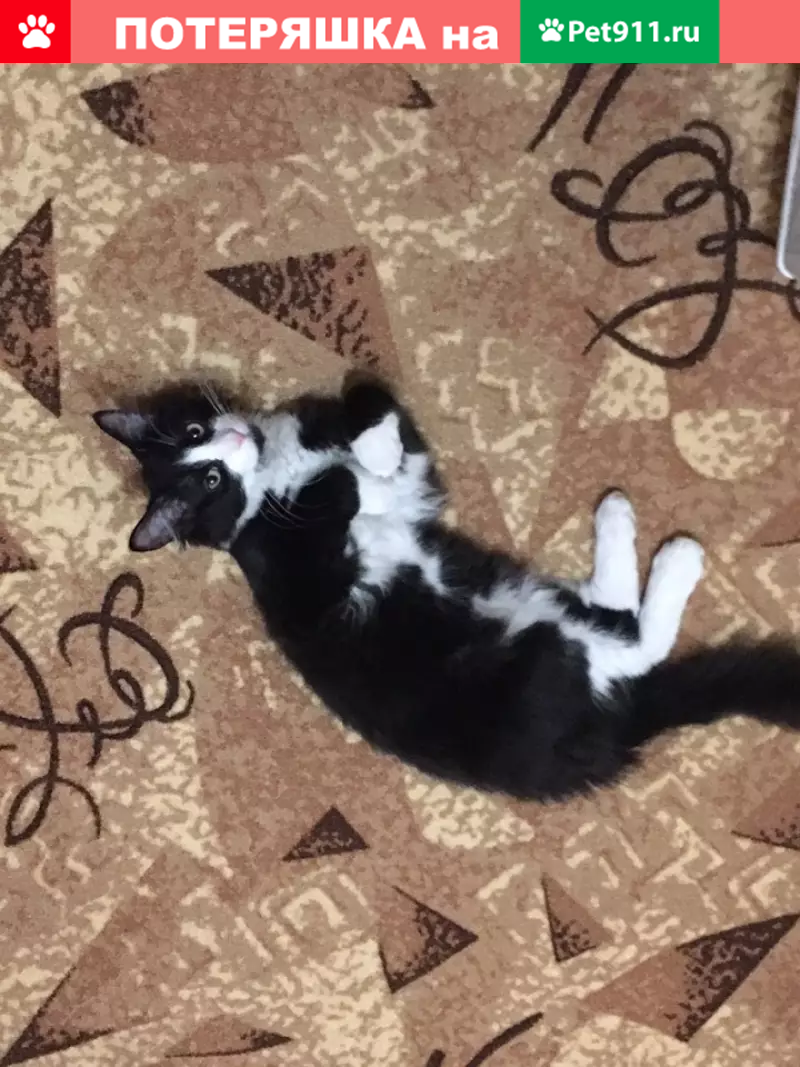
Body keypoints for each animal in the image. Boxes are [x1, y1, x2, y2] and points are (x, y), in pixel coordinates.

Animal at [94, 376, 800, 801]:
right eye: (209, 479)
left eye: (196, 435)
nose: (236, 436)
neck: (275, 470)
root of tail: (618, 726)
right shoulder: (302, 567)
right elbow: (343, 488)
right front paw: (359, 472)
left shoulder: (395, 459)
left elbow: (372, 401)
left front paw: (373, 447)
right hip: (537, 654)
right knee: (633, 636)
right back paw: (664, 549)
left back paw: (621, 519)